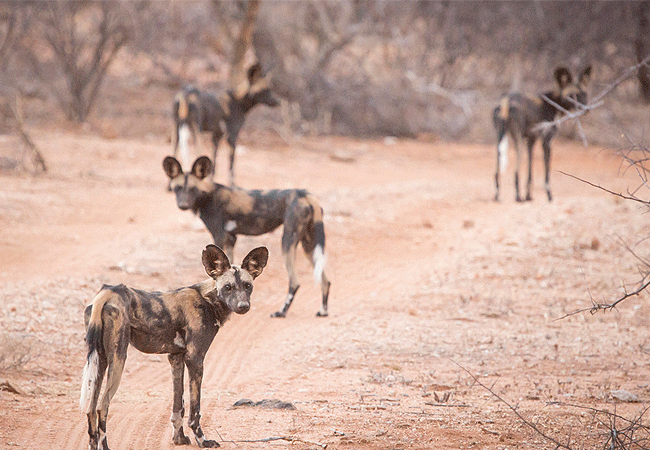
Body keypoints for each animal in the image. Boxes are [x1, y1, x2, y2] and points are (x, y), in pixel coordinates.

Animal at [81, 246, 268, 450]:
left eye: (247, 286)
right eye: (228, 287)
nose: (243, 306)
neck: (208, 300)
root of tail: (109, 291)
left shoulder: (176, 358)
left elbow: (179, 406)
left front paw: (179, 438)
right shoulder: (195, 358)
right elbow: (195, 409)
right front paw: (202, 440)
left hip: (101, 360)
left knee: (91, 408)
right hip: (118, 359)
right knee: (102, 406)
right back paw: (105, 446)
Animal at [162, 156, 330, 318]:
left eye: (192, 189)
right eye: (177, 188)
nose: (183, 205)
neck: (208, 195)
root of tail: (305, 194)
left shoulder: (219, 236)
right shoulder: (230, 239)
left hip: (287, 241)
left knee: (294, 282)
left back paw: (281, 312)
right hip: (309, 245)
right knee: (325, 281)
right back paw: (323, 311)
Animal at [494, 65, 588, 202]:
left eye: (584, 94)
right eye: (572, 95)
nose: (585, 108)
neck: (554, 103)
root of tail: (507, 99)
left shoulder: (531, 141)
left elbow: (530, 172)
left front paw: (528, 196)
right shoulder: (546, 141)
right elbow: (547, 172)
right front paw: (549, 196)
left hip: (500, 136)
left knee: (497, 168)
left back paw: (497, 195)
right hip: (518, 140)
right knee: (516, 170)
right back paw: (517, 196)